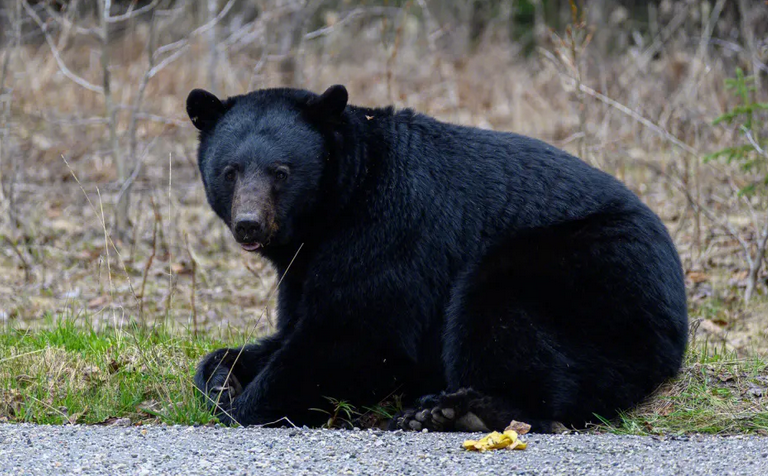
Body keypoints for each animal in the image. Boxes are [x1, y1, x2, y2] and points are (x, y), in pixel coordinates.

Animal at [188, 83, 688, 434]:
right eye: (229, 171)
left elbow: (358, 334)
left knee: (502, 315)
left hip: (587, 273)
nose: (250, 225)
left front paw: (243, 406)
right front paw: (222, 378)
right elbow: (293, 328)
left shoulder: (389, 230)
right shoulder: (303, 264)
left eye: (281, 172)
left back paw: (457, 411)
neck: (341, 202)